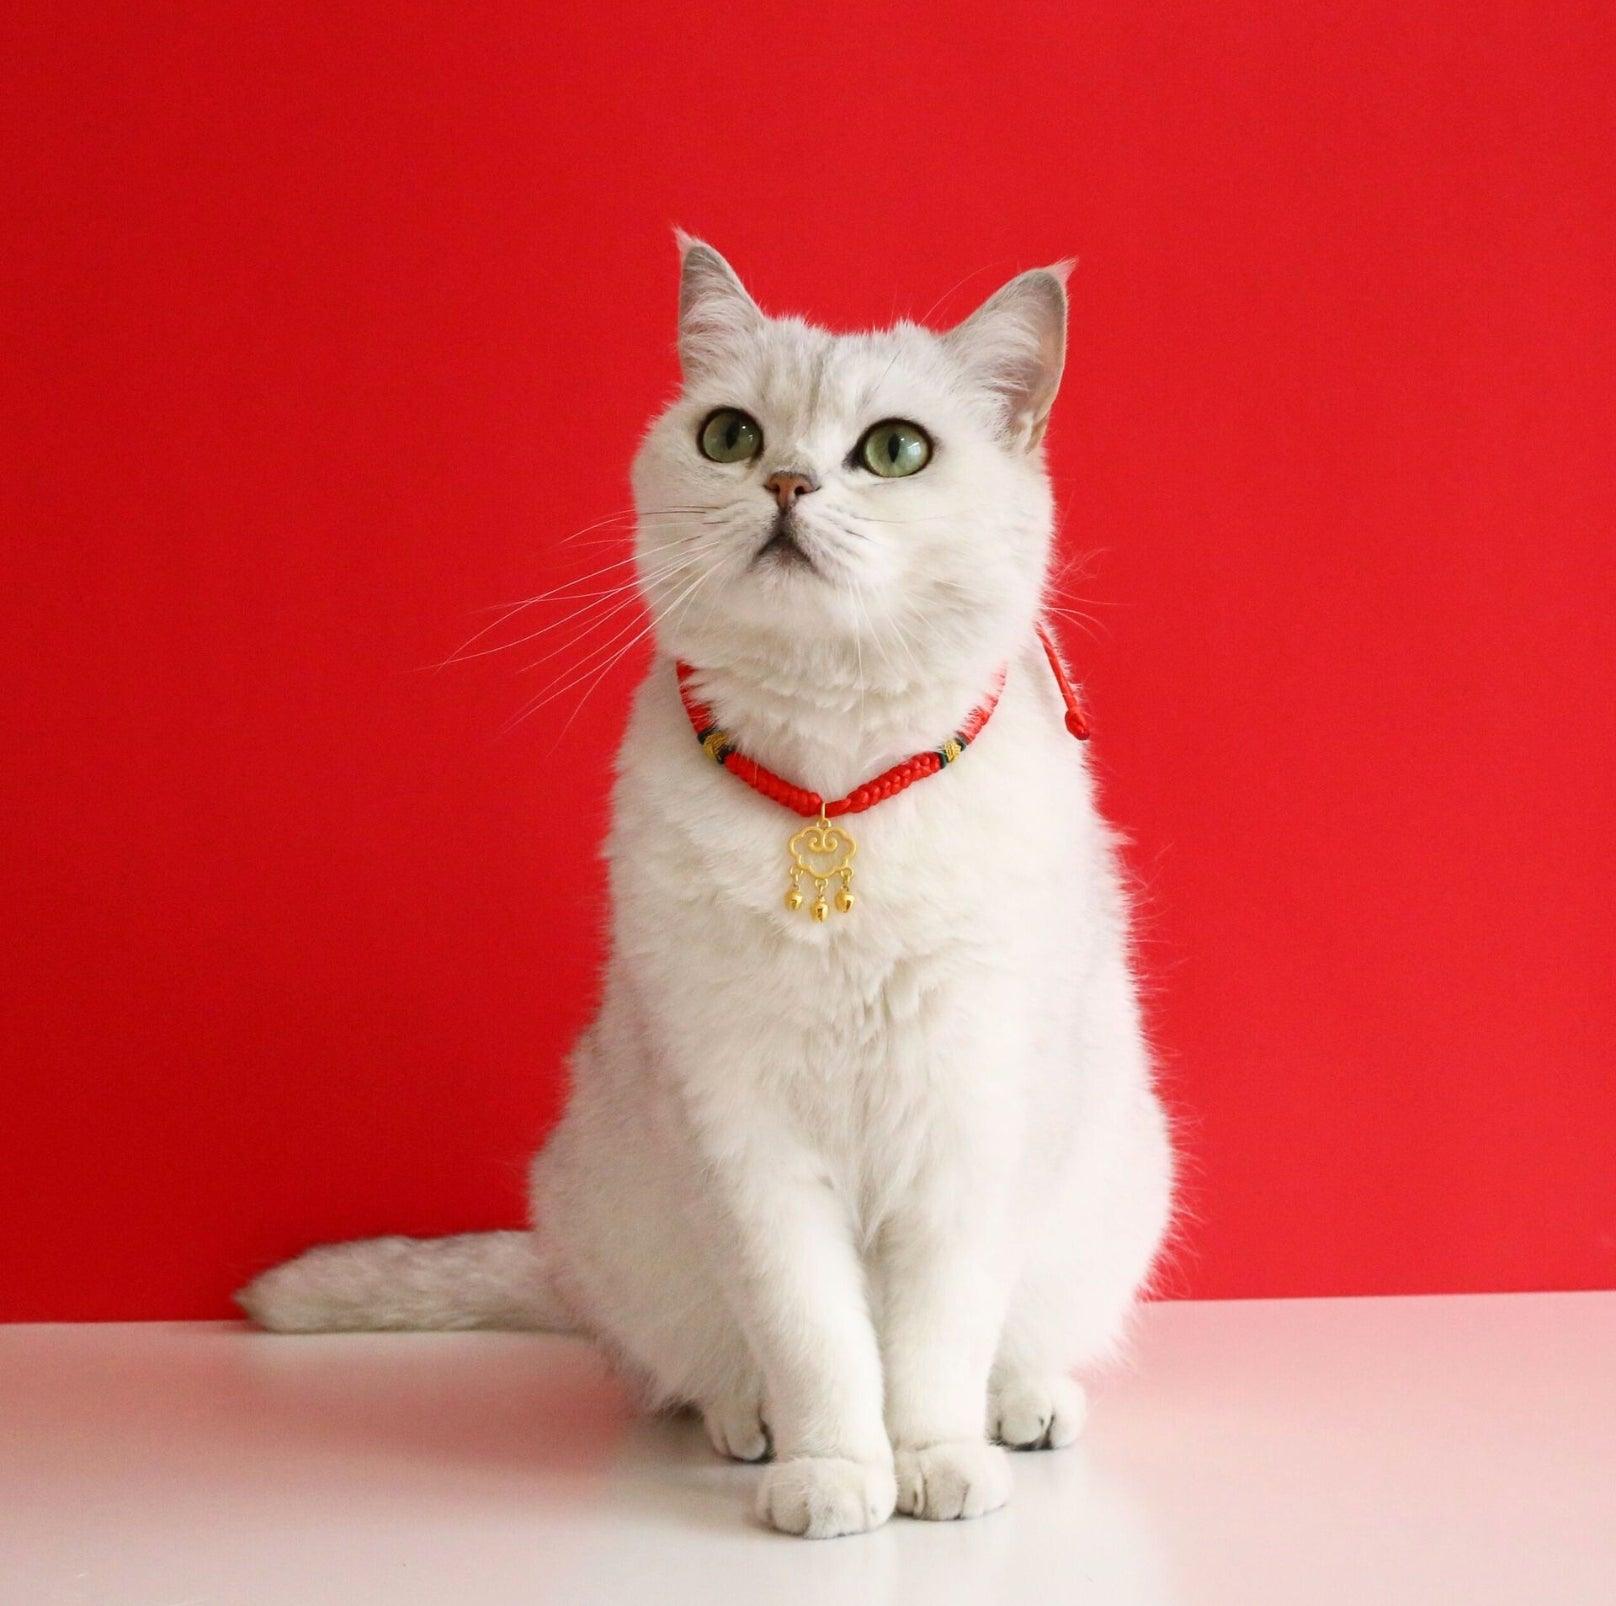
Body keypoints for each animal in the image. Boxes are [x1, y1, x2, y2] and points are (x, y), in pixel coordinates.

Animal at [239, 234, 1176, 1525]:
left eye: (893, 449)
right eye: (729, 435)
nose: (783, 482)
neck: (830, 798)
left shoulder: (965, 1119)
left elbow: (934, 1342)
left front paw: (933, 1463)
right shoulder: (741, 1130)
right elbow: (817, 1338)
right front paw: (832, 1477)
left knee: (1018, 1344)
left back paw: (1021, 1411)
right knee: (693, 1370)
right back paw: (751, 1428)